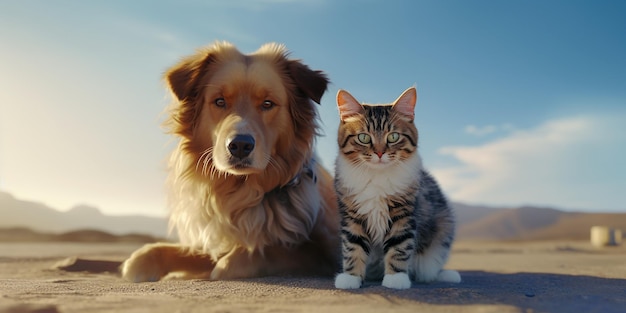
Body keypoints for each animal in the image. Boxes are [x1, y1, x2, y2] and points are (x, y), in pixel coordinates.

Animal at [120, 40, 338, 282]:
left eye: (268, 103)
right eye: (220, 101)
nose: (240, 145)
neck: (244, 192)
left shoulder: (326, 252)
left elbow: (271, 249)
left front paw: (230, 263)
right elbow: (187, 251)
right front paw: (143, 258)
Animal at [332, 86, 458, 288]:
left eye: (393, 136)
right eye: (363, 137)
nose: (379, 153)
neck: (377, 177)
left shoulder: (403, 213)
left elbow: (399, 247)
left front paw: (395, 278)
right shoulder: (352, 215)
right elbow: (353, 247)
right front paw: (351, 277)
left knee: (428, 270)